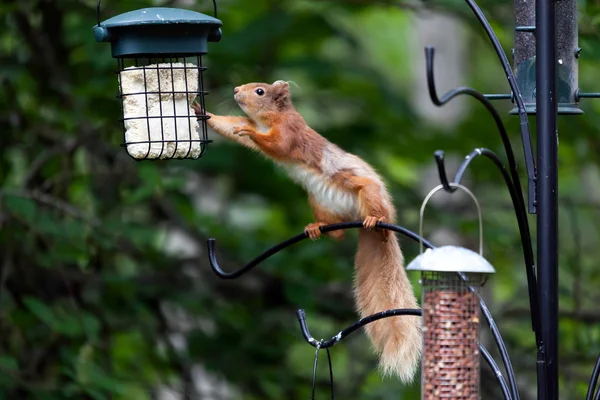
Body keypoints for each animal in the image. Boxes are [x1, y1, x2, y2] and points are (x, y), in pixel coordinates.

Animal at [193, 80, 422, 382]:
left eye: (260, 91)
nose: (236, 90)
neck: (267, 119)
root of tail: (360, 219)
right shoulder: (247, 121)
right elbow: (230, 126)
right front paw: (201, 111)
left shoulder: (290, 131)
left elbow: (277, 144)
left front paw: (250, 132)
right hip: (319, 202)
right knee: (338, 234)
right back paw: (318, 228)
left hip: (367, 192)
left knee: (376, 217)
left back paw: (377, 223)